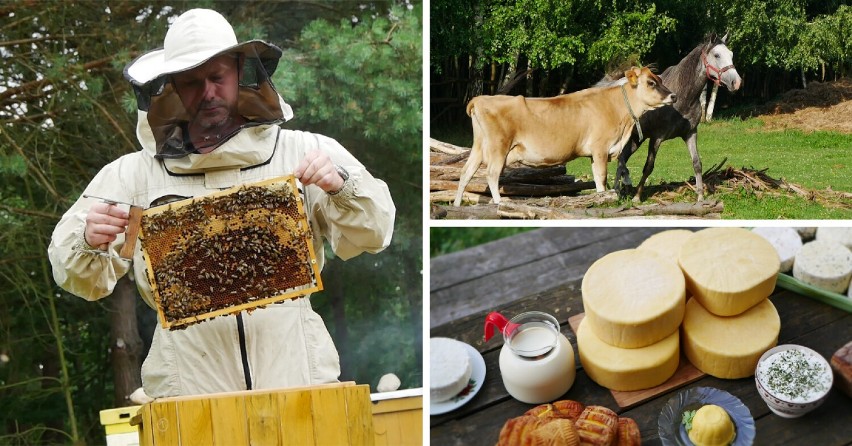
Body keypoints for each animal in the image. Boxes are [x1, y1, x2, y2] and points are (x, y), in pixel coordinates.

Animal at [452, 66, 680, 207]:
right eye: (651, 82)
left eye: (659, 79)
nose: (673, 96)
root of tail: (480, 99)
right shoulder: (600, 148)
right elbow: (601, 176)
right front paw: (602, 198)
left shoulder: (596, 152)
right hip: (499, 146)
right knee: (491, 173)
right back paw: (499, 202)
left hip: (479, 146)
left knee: (466, 172)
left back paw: (457, 203)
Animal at [608, 34, 744, 201]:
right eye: (717, 55)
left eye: (731, 54)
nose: (736, 82)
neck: (682, 97)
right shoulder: (657, 138)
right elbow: (648, 167)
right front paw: (637, 197)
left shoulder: (690, 133)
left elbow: (697, 163)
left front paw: (700, 197)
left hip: (635, 139)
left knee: (622, 159)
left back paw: (621, 190)